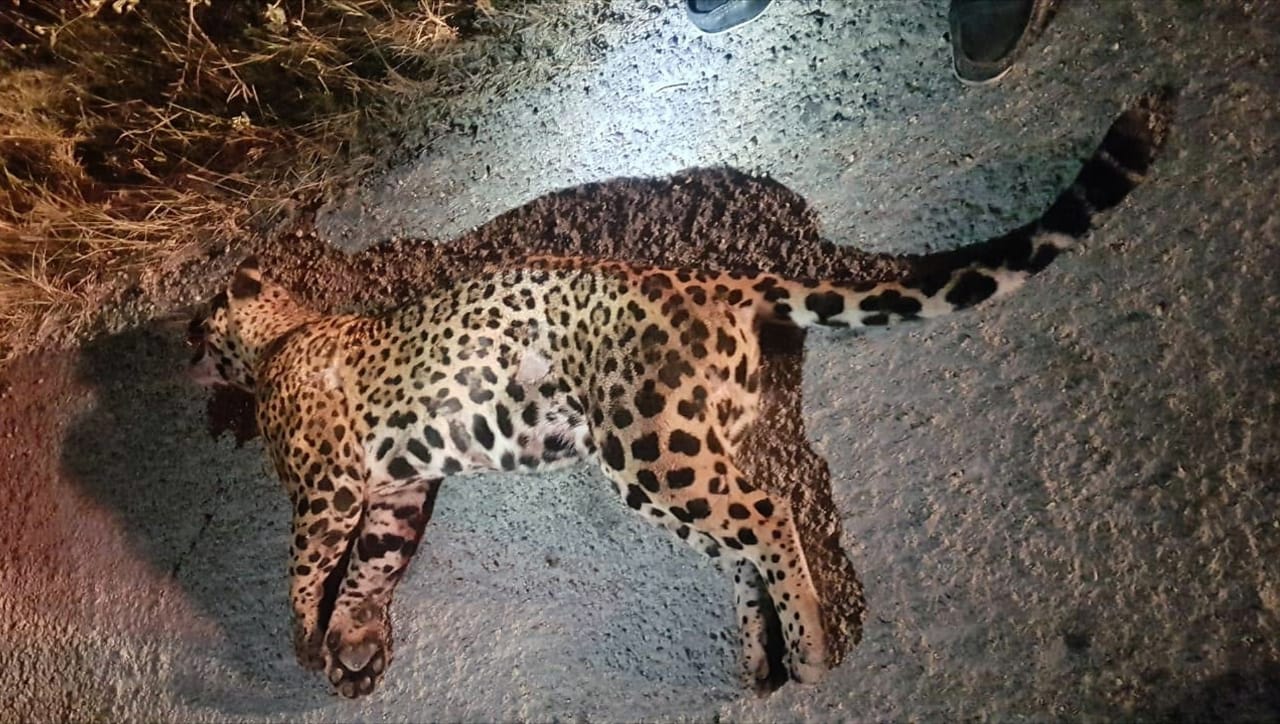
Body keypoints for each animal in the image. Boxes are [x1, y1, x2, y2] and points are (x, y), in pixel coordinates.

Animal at [188, 93, 1169, 698]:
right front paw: (353, 637)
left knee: (769, 513)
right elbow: (373, 563)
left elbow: (306, 563)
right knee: (741, 543)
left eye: (197, 328)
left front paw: (303, 637)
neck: (283, 336)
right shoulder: (394, 489)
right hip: (661, 460)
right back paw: (759, 658)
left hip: (651, 446)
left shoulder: (328, 489)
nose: (187, 356)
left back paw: (810, 651)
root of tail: (715, 281)